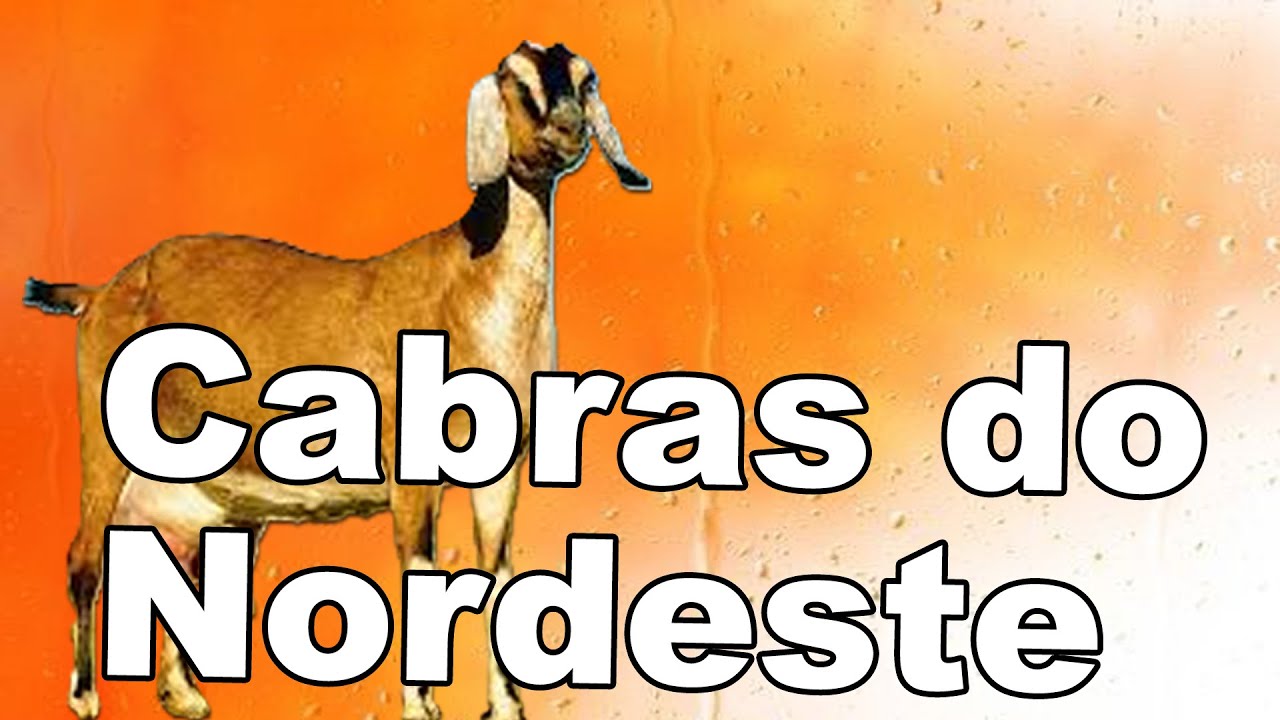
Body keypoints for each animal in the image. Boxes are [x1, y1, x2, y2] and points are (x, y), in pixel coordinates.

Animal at [23, 41, 649, 720]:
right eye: (516, 80)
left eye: (583, 81)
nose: (568, 133)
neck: (468, 283)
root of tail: (101, 292)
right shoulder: (409, 466)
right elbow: (421, 569)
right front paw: (422, 708)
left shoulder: (503, 469)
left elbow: (499, 572)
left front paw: (506, 708)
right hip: (103, 446)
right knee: (84, 558)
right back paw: (85, 696)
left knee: (184, 568)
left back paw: (184, 697)